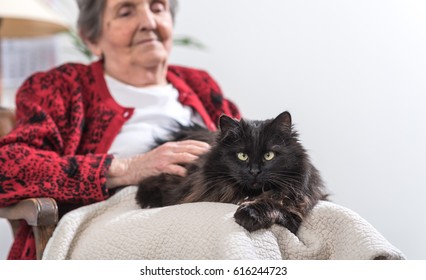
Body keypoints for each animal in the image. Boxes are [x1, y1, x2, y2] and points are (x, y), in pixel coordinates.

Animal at [135, 111, 328, 234]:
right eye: (242, 156)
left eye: (269, 155)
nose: (255, 171)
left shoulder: (294, 212)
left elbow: (274, 204)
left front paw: (249, 214)